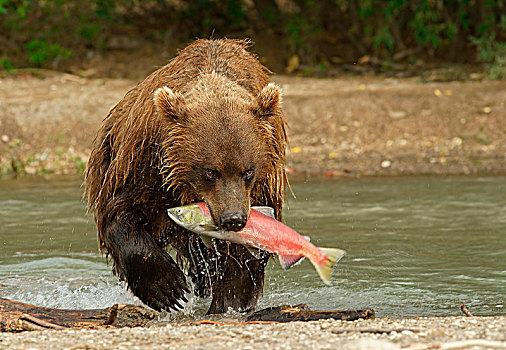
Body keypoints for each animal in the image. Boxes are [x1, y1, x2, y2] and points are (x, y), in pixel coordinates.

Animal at [83, 39, 288, 314]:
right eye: (211, 171)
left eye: (248, 171)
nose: (233, 219)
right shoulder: (146, 165)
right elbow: (120, 212)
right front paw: (167, 288)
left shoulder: (263, 183)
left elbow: (246, 252)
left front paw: (228, 301)